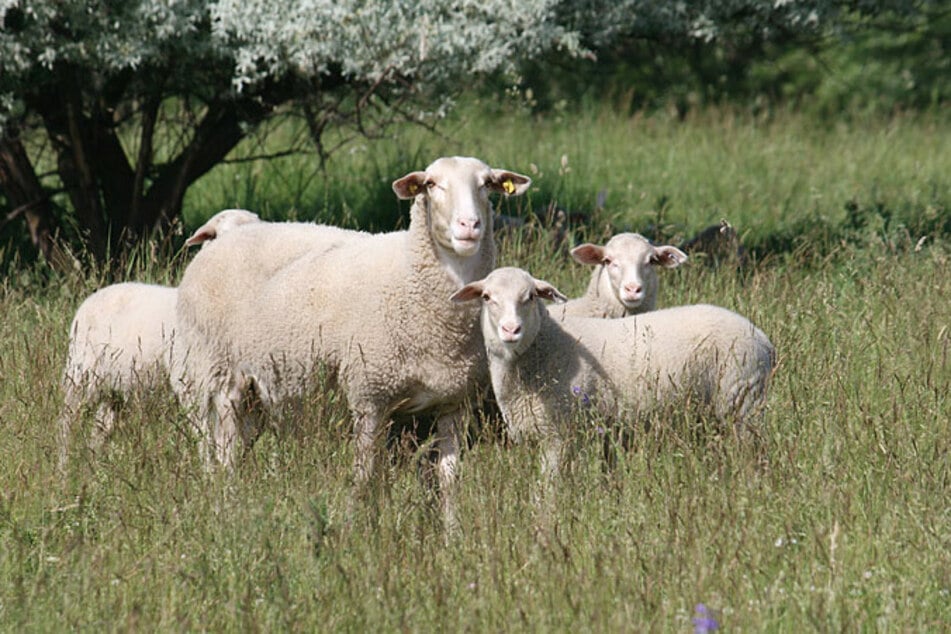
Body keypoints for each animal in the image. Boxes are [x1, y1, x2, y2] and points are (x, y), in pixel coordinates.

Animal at [175, 154, 532, 524]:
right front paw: (358, 529)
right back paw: (225, 507)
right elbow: (365, 478)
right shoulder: (369, 397)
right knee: (223, 456)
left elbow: (448, 481)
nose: (469, 225)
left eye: (487, 184)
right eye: (431, 184)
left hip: (254, 395)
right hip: (218, 377)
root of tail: (222, 240)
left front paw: (451, 532)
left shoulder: (453, 403)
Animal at [452, 264, 772, 476]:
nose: (511, 329)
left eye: (530, 296)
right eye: (486, 297)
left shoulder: (558, 435)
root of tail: (763, 339)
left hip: (742, 403)